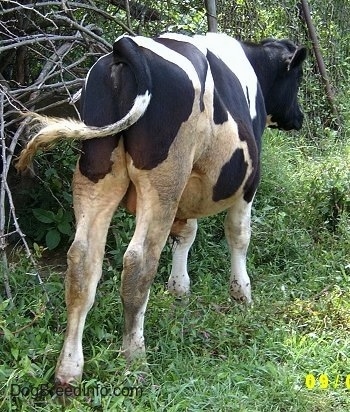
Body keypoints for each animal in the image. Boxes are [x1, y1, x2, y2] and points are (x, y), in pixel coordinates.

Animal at [16, 33, 306, 386]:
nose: (299, 117)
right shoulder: (248, 183)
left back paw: (69, 369)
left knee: (82, 261)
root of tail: (127, 45)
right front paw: (242, 294)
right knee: (139, 261)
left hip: (96, 170)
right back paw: (135, 357)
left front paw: (179, 288)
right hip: (164, 179)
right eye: (298, 77)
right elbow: (238, 236)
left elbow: (186, 232)